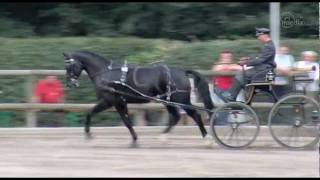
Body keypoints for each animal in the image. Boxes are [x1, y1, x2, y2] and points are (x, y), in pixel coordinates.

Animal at [62, 50, 214, 146]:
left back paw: (207, 139)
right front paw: (135, 139)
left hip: (180, 100)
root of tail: (182, 71)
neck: (106, 73)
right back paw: (163, 137)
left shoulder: (110, 101)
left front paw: (88, 134)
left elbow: (90, 113)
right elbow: (127, 122)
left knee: (195, 115)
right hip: (168, 101)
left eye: (69, 66)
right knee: (176, 117)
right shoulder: (120, 103)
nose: (71, 83)